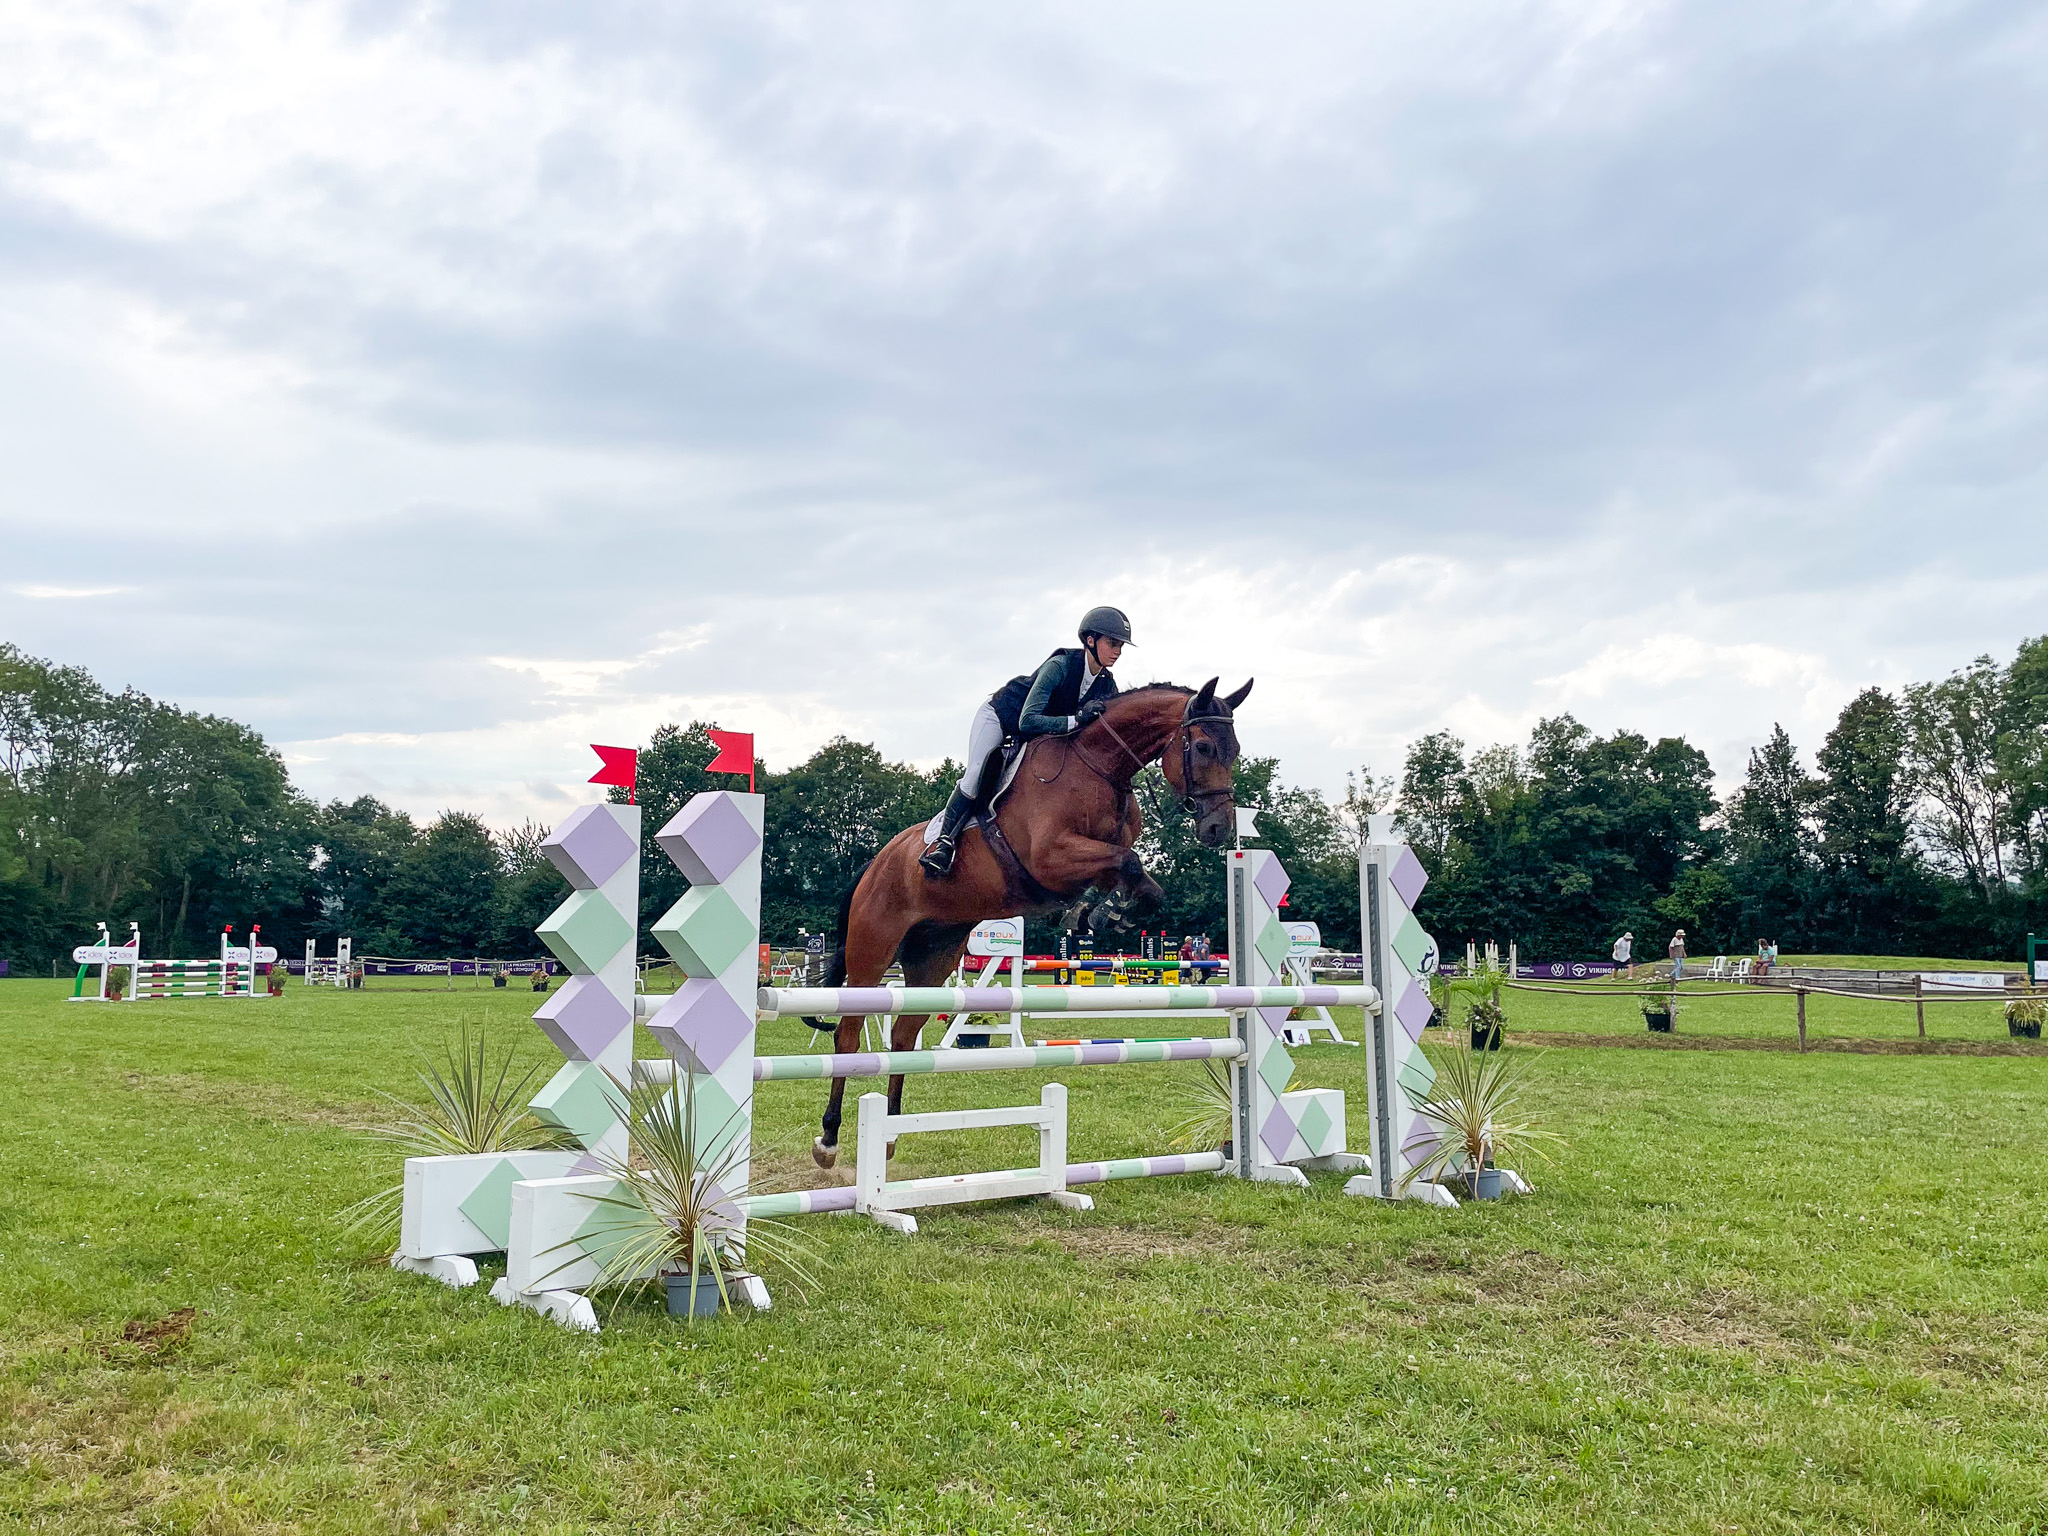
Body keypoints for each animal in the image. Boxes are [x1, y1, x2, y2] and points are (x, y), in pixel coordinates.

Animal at [804, 677, 1252, 1168]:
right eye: (1205, 747)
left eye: (1235, 750)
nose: (1218, 829)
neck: (1099, 767)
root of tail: (875, 863)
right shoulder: (1050, 858)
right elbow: (1129, 862)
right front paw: (1095, 911)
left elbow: (1139, 881)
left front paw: (1101, 913)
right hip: (873, 948)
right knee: (847, 1037)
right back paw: (828, 1139)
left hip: (933, 954)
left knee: (903, 1037)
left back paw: (888, 1134)